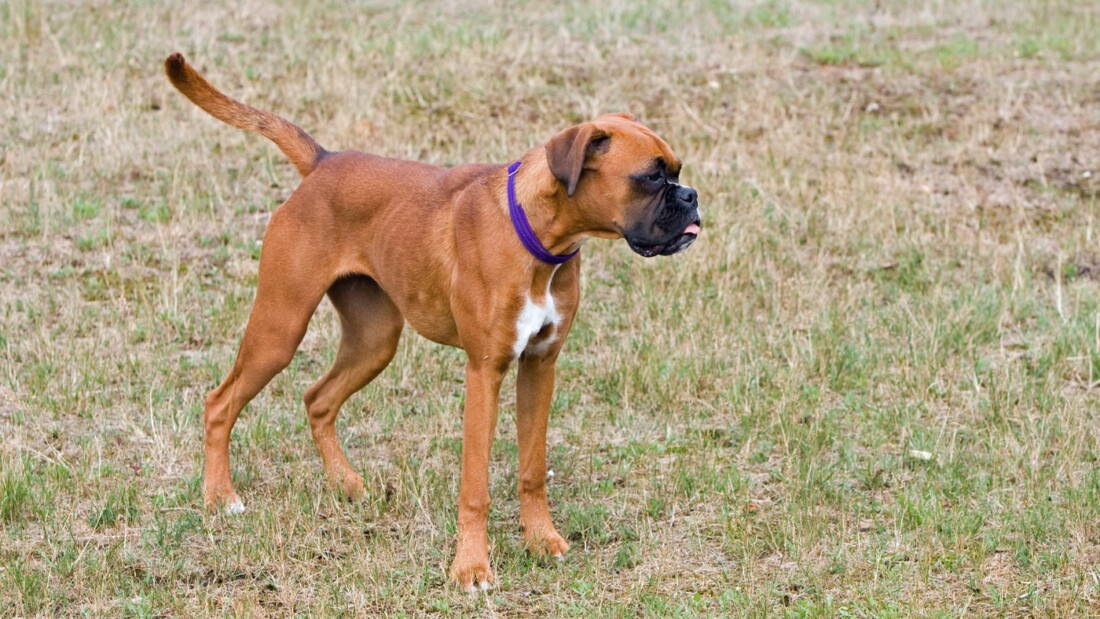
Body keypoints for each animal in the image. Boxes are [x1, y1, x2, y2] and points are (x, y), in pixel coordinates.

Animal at [162, 53, 699, 589]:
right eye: (652, 178)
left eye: (675, 171)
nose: (691, 196)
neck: (536, 234)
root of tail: (324, 161)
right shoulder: (485, 371)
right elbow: (475, 485)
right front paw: (472, 567)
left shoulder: (539, 367)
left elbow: (532, 468)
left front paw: (541, 540)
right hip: (280, 328)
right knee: (220, 402)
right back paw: (221, 497)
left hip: (374, 341)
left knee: (317, 399)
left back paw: (345, 483)